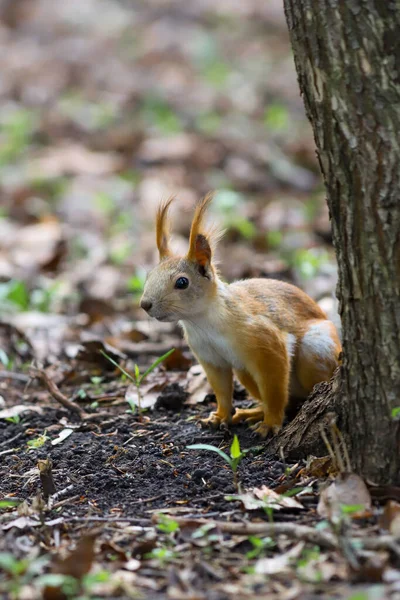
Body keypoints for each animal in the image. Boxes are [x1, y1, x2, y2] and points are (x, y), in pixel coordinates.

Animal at [140, 196, 340, 436]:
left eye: (182, 282)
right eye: (149, 275)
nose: (145, 304)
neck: (203, 322)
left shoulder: (265, 342)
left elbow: (274, 388)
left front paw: (271, 423)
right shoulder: (209, 357)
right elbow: (222, 390)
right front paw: (219, 417)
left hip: (316, 349)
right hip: (244, 371)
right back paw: (253, 412)